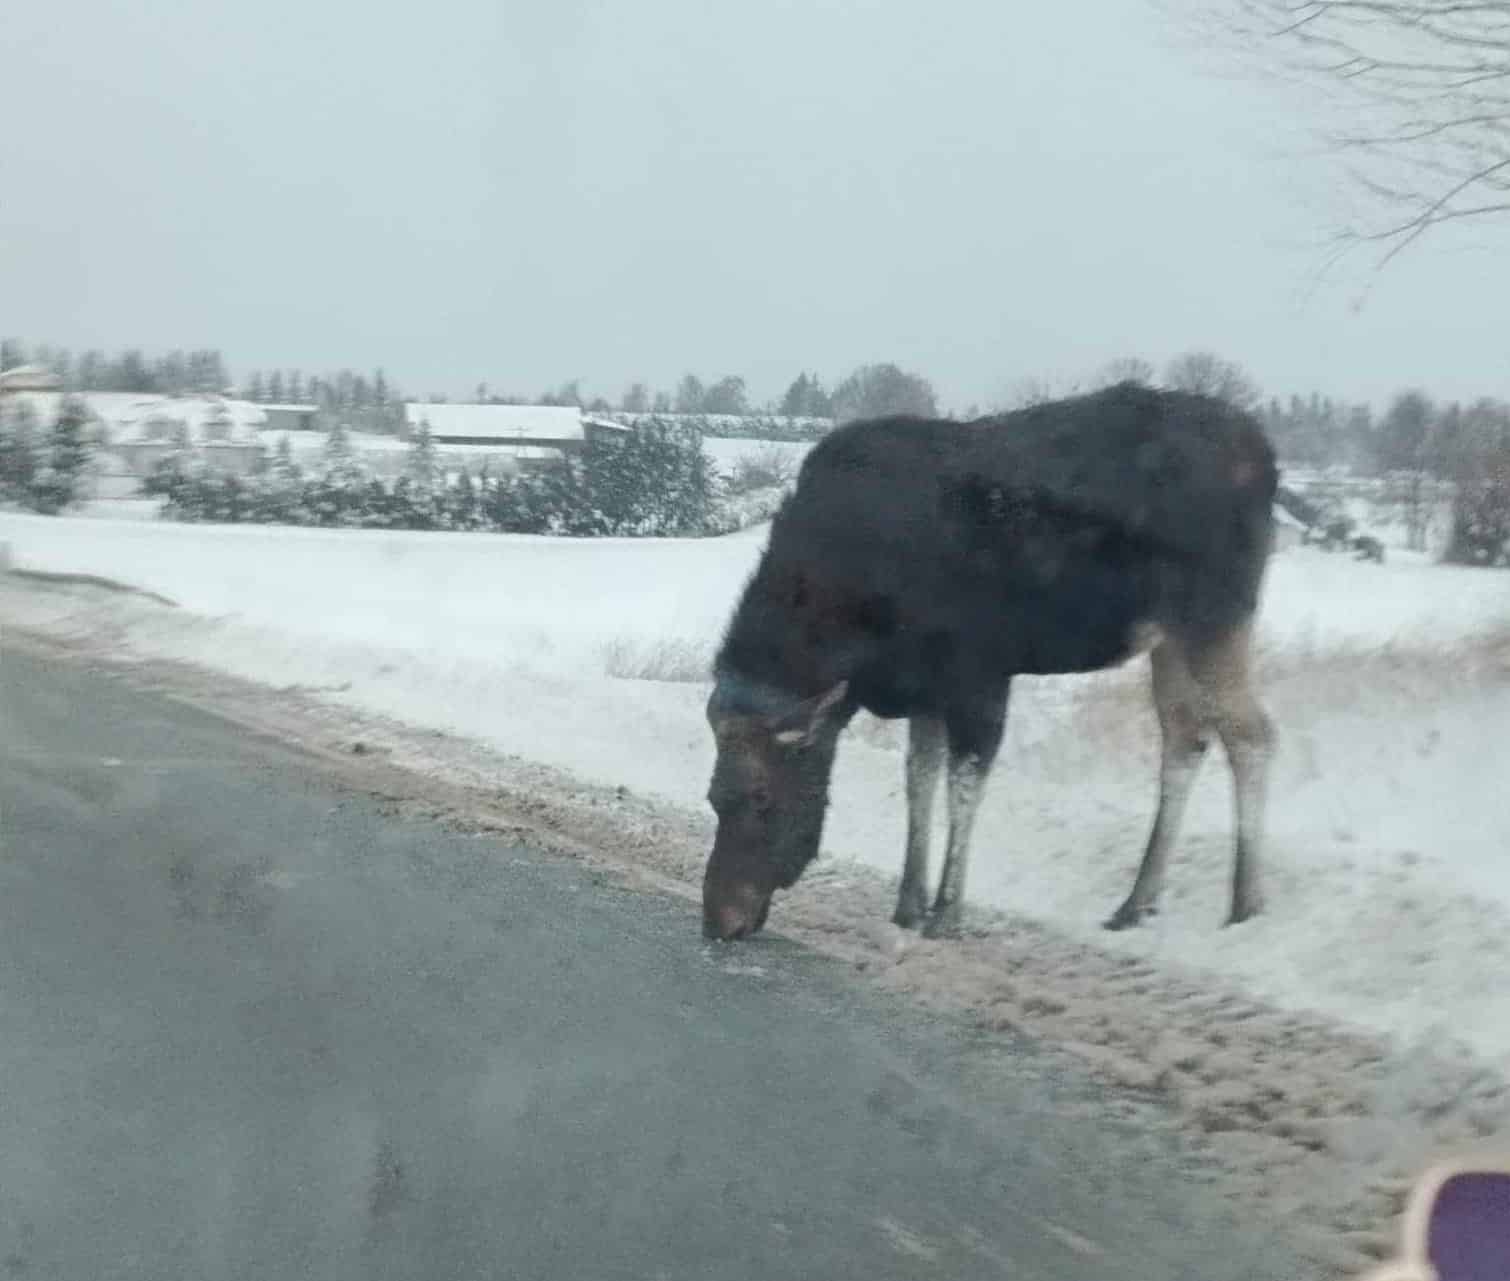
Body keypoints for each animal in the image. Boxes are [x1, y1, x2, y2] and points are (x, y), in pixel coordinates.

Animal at [703, 380, 1274, 942]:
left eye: (762, 798)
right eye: (712, 796)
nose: (718, 921)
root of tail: (1265, 455)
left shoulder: (977, 678)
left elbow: (964, 784)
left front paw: (946, 911)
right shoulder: (923, 690)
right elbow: (919, 780)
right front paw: (908, 902)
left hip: (1214, 620)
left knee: (1252, 734)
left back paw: (1245, 903)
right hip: (1168, 641)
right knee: (1186, 737)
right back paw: (1137, 901)